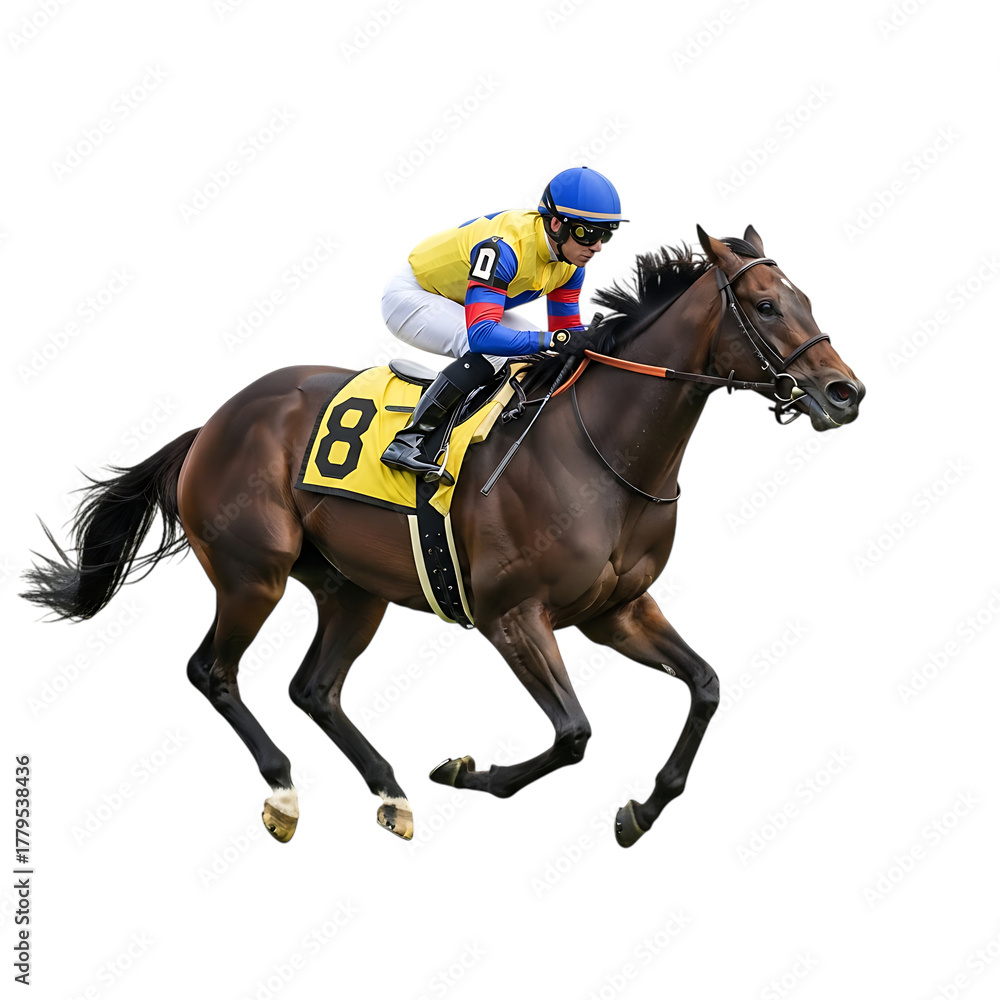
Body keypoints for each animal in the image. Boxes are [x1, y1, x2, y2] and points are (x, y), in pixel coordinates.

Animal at [22, 226, 864, 848]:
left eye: (803, 297)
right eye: (764, 305)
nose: (844, 392)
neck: (603, 450)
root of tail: (214, 423)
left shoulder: (616, 612)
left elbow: (706, 686)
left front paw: (643, 809)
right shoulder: (512, 615)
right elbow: (574, 733)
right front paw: (466, 771)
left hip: (352, 589)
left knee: (314, 688)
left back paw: (389, 792)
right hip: (252, 573)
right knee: (213, 671)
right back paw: (285, 792)